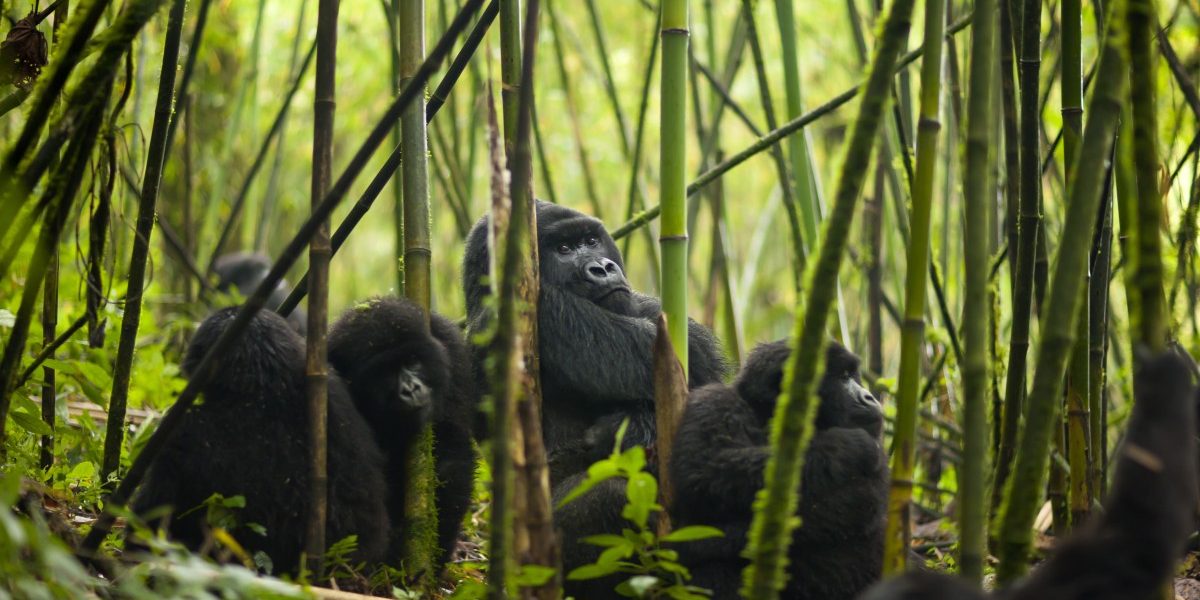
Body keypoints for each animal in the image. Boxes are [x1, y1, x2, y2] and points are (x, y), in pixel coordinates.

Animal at [672, 340, 888, 600]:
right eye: (843, 377)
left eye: (853, 375)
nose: (869, 397)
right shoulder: (713, 400)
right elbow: (706, 470)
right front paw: (848, 445)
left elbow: (854, 503)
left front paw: (699, 545)